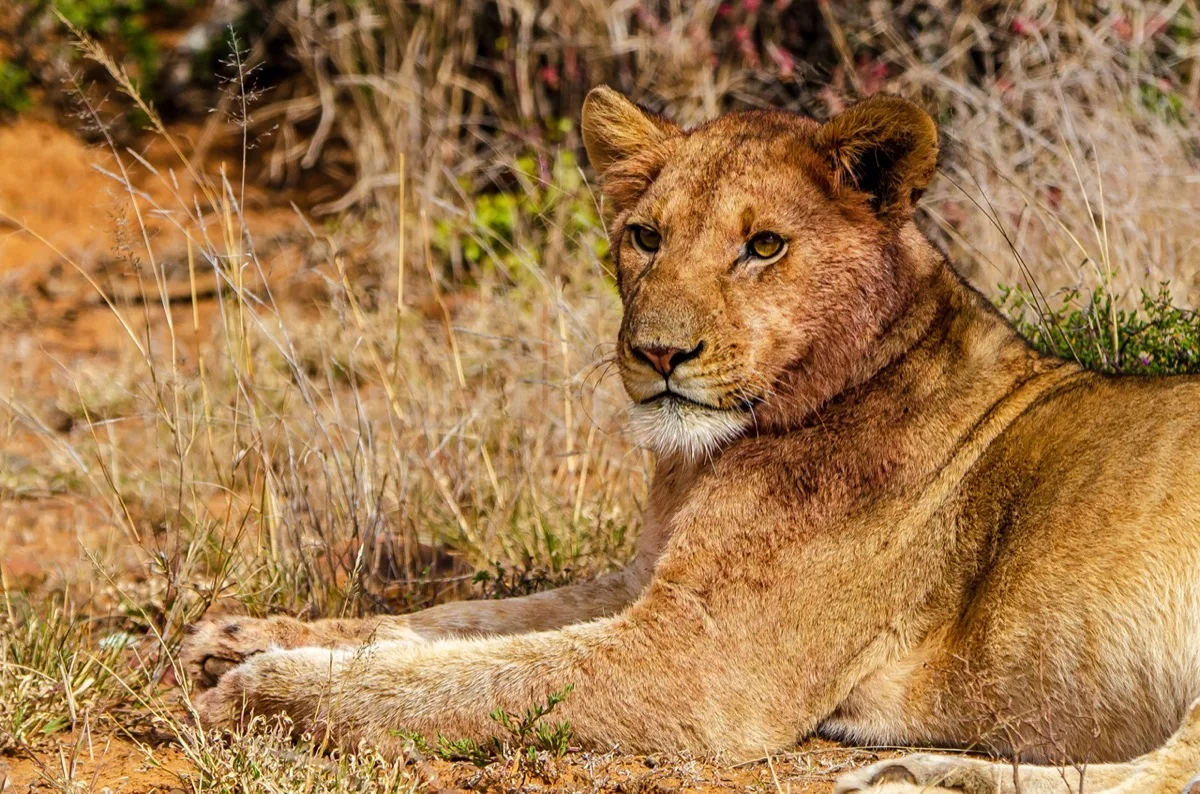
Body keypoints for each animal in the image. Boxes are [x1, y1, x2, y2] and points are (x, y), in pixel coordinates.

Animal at [181, 87, 1200, 793]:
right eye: (643, 236)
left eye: (765, 247)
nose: (659, 353)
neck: (707, 461)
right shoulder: (644, 583)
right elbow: (450, 624)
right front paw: (238, 637)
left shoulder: (701, 662)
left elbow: (473, 679)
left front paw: (261, 692)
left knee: (1161, 778)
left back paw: (913, 779)